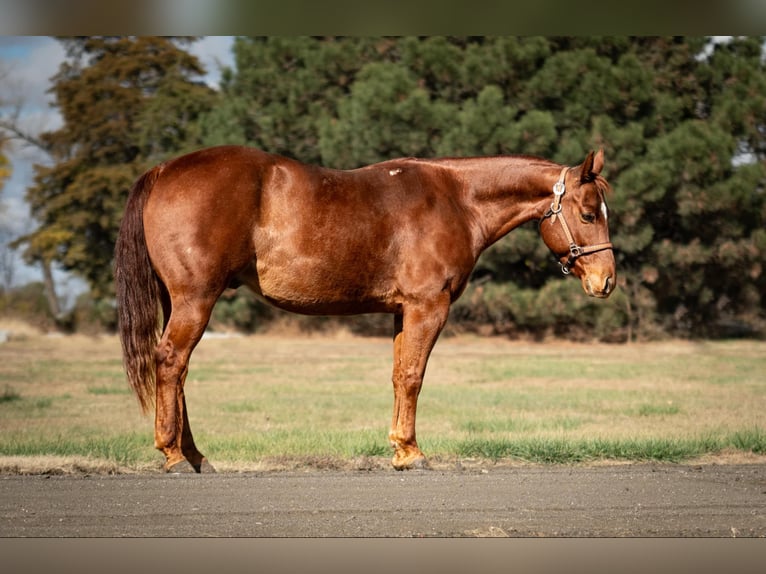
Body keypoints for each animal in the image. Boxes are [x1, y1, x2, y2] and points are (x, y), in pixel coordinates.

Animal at [114, 144, 616, 472]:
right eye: (588, 213)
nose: (606, 281)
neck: (456, 199)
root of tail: (162, 170)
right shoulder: (427, 306)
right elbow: (413, 376)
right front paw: (412, 453)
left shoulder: (402, 311)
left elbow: (398, 375)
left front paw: (399, 448)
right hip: (196, 299)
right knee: (171, 361)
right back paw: (174, 456)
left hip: (179, 301)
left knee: (177, 371)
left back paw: (194, 454)